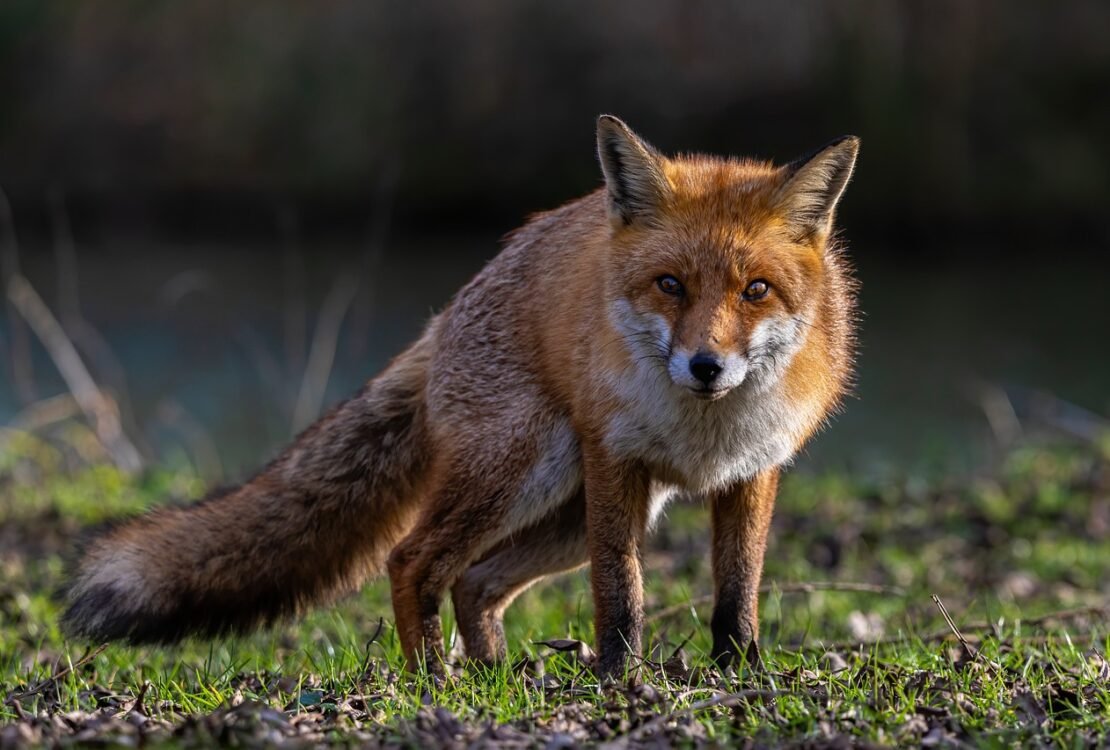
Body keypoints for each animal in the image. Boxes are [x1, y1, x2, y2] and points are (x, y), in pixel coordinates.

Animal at [63, 116, 859, 680]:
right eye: (670, 285)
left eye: (756, 290)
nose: (705, 366)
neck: (704, 431)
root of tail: (445, 314)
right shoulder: (616, 462)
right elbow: (620, 591)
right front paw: (620, 679)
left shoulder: (753, 471)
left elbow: (737, 592)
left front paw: (739, 674)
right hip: (527, 474)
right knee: (414, 560)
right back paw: (433, 680)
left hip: (566, 512)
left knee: (475, 580)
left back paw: (495, 675)